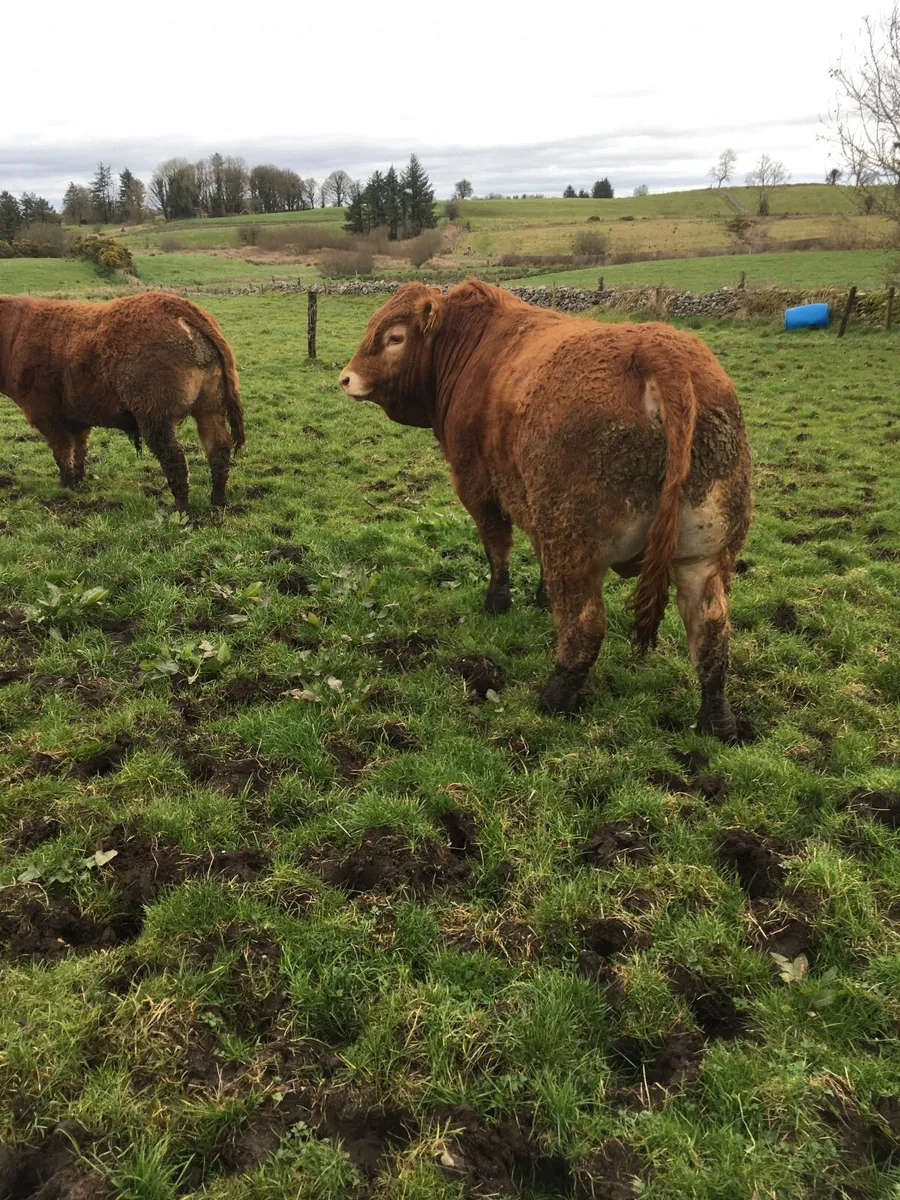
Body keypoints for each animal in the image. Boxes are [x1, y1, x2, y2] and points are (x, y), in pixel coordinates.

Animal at [0, 292, 244, 509]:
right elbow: (79, 449)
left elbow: (62, 452)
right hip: (210, 409)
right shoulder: (77, 417)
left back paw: (181, 509)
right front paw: (78, 481)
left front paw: (66, 486)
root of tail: (176, 305)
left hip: (155, 416)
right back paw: (218, 502)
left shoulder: (46, 414)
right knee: (218, 449)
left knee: (174, 457)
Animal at [340, 279, 752, 740]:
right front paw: (541, 597)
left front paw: (498, 601)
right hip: (706, 555)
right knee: (711, 630)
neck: (473, 348)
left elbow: (497, 547)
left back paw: (554, 698)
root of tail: (660, 349)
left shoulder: (478, 486)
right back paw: (717, 720)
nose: (346, 378)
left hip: (576, 542)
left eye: (394, 337)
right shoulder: (535, 504)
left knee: (586, 625)